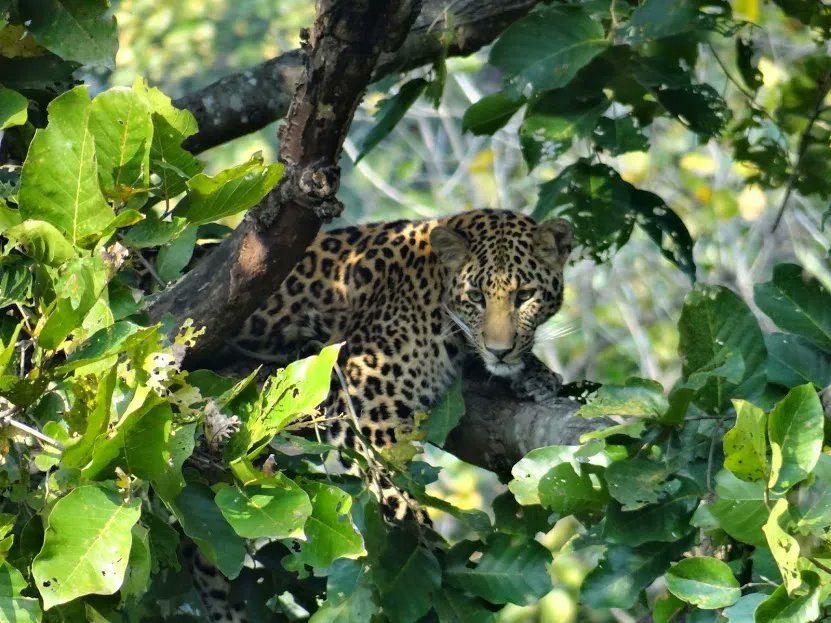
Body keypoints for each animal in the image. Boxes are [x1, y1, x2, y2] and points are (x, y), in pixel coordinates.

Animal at [195, 208, 572, 622]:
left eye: (525, 296)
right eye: (476, 297)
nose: (500, 350)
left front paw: (536, 374)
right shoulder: (366, 401)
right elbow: (398, 492)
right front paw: (428, 554)